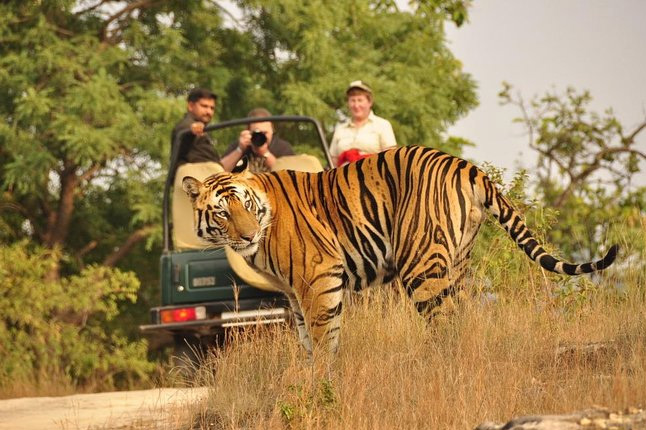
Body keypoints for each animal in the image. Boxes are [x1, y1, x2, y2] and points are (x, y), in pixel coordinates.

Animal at [182, 145, 618, 355]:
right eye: (222, 212)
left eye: (245, 204)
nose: (246, 235)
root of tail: (467, 165)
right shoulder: (295, 293)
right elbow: (310, 340)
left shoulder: (318, 279)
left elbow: (323, 340)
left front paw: (321, 385)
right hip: (457, 263)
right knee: (464, 318)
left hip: (421, 265)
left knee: (445, 323)